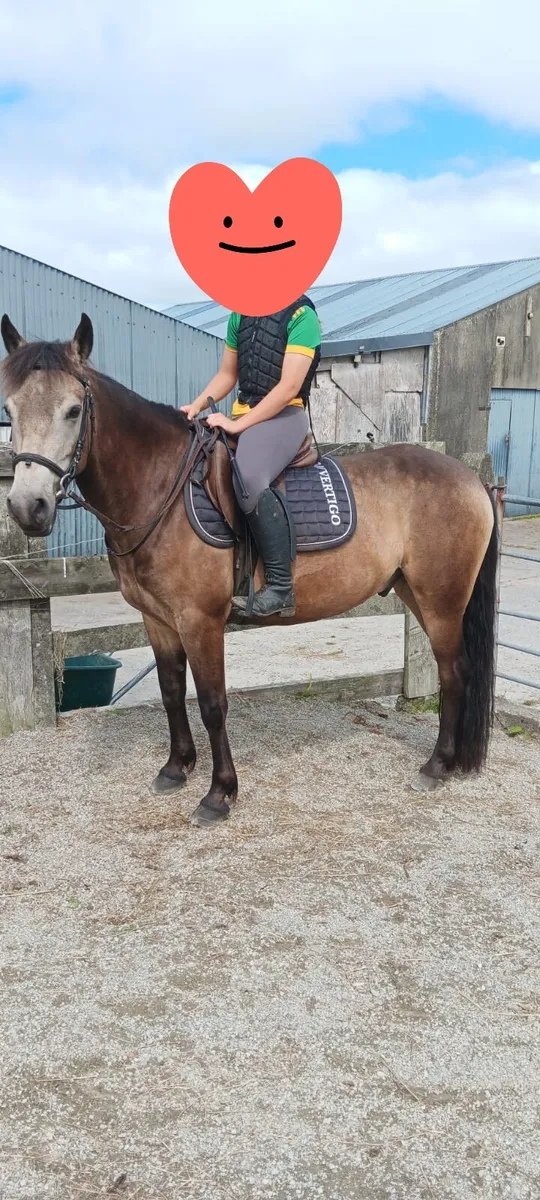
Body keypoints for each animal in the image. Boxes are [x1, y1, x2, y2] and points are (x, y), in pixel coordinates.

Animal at [0, 313, 498, 827]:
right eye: (9, 411)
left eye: (73, 410)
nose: (27, 508)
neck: (160, 488)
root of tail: (468, 476)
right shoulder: (157, 619)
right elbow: (171, 692)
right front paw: (176, 768)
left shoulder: (200, 621)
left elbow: (213, 705)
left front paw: (219, 794)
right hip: (415, 594)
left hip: (441, 600)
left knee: (453, 671)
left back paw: (436, 766)